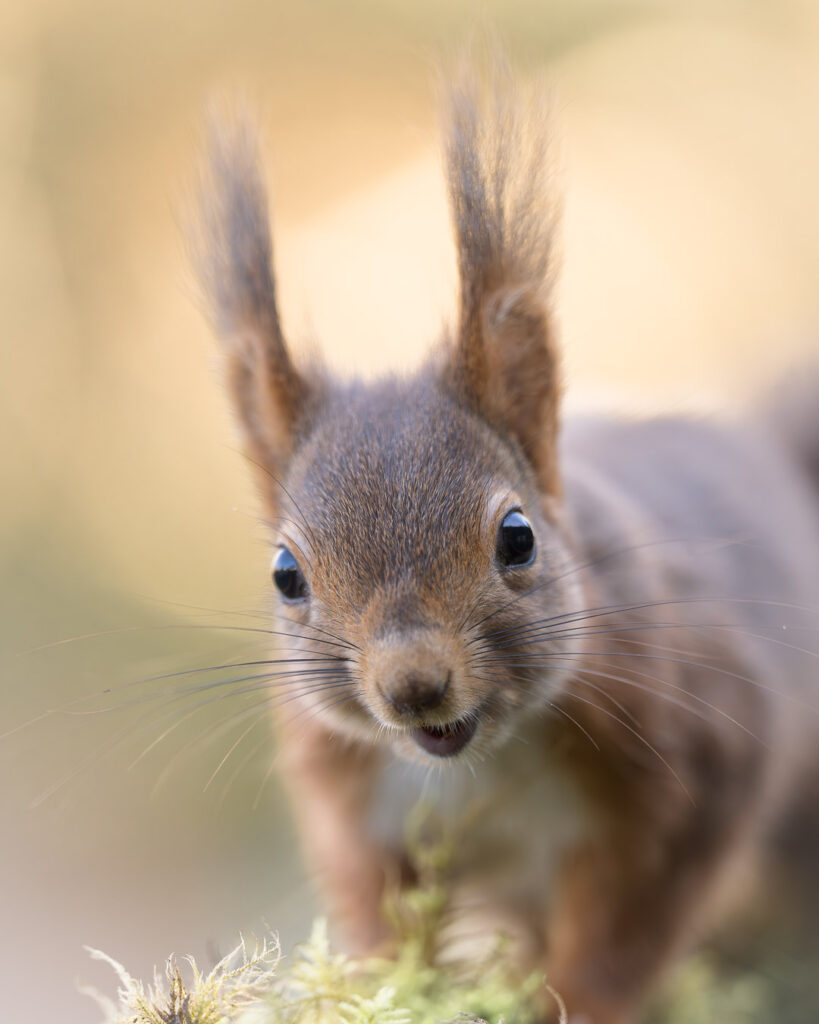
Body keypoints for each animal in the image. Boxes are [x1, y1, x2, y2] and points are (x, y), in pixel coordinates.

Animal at [192, 61, 819, 1024]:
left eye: (517, 538)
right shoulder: (350, 802)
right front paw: (387, 983)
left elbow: (625, 932)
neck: (481, 759)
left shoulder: (698, 757)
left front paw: (578, 1000)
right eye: (286, 575)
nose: (413, 685)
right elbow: (372, 909)